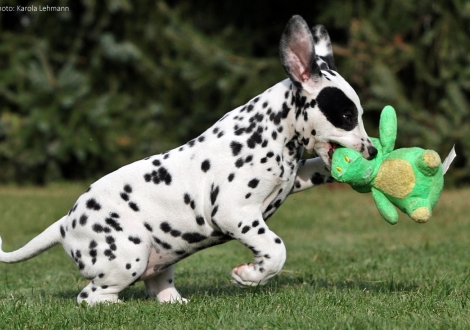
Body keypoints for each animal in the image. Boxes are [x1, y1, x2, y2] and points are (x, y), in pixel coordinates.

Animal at [0, 15, 374, 304]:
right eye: (346, 116)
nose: (372, 152)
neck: (272, 132)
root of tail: (64, 223)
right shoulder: (235, 213)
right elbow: (276, 249)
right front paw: (250, 275)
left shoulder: (292, 179)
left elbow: (313, 171)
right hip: (127, 257)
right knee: (90, 296)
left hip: (159, 261)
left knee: (156, 289)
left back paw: (176, 303)